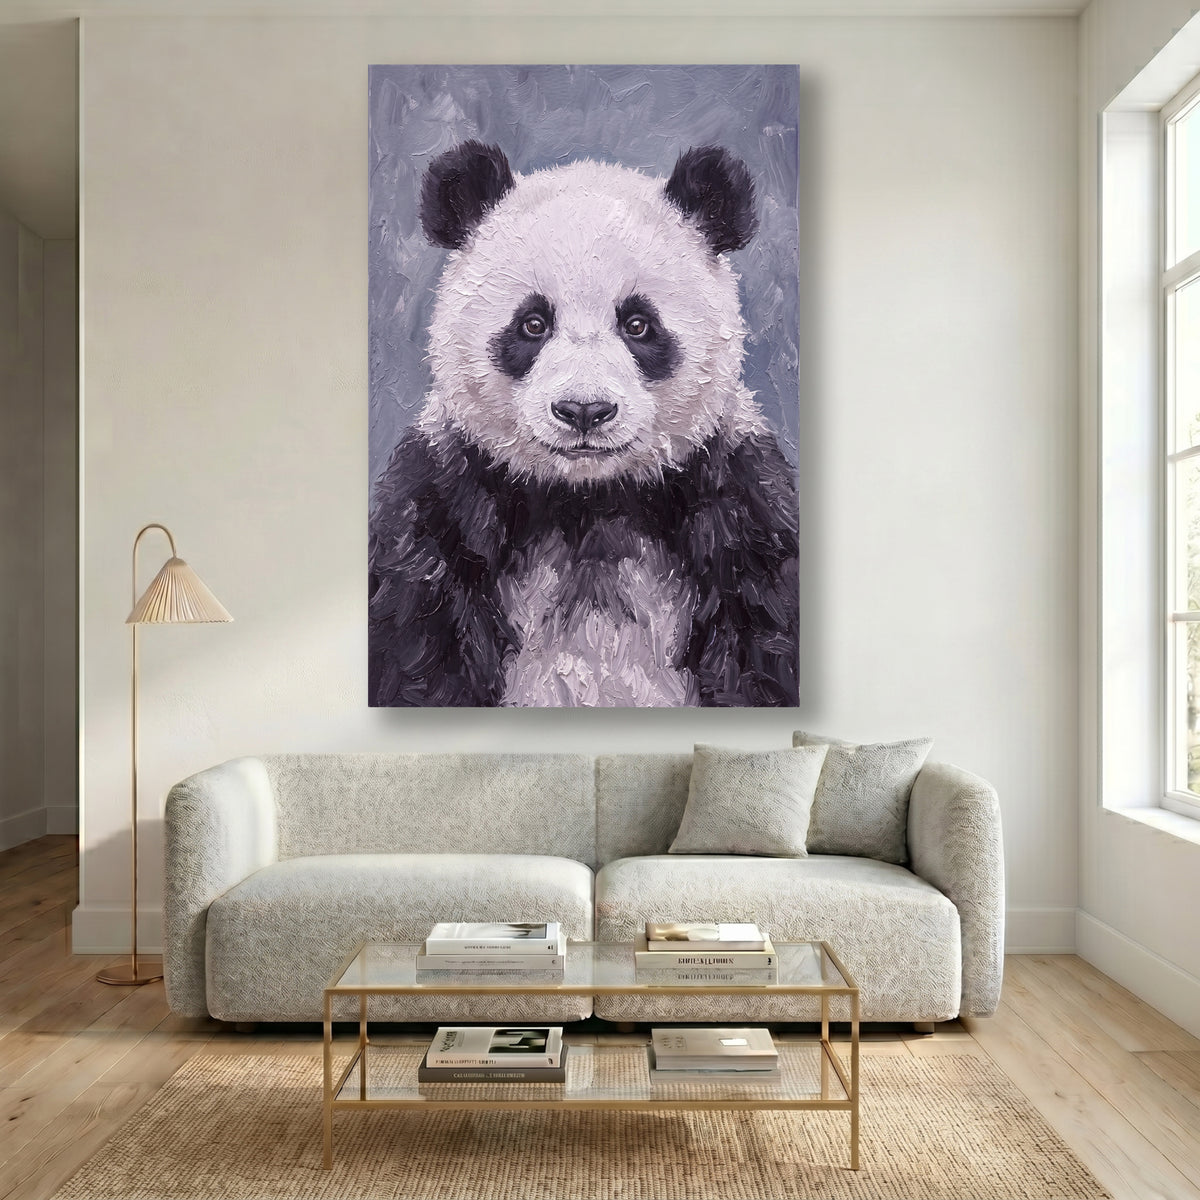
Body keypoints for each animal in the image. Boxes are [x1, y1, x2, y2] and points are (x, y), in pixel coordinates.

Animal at [369, 140, 799, 708]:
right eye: (533, 323)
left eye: (638, 324)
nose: (584, 412)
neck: (588, 501)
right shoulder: (444, 500)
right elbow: (414, 647)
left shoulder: (738, 503)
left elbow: (769, 649)